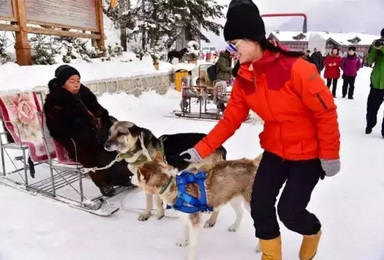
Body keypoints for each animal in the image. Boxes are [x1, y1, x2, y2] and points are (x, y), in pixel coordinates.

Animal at [134, 152, 262, 260]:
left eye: (136, 174)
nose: (130, 177)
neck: (174, 186)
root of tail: (253, 163)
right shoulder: (186, 217)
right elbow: (185, 230)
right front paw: (184, 241)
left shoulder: (195, 222)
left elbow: (193, 245)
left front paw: (190, 256)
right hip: (232, 197)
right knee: (240, 212)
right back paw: (234, 227)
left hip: (251, 205)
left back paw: (259, 248)